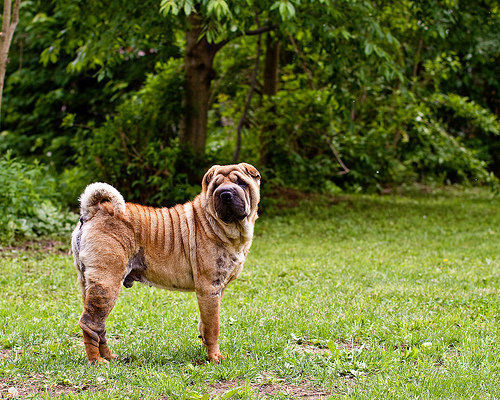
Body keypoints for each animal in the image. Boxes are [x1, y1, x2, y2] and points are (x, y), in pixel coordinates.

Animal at [71, 164, 262, 364]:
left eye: (241, 183)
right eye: (215, 186)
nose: (225, 193)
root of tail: (93, 211)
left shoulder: (215, 291)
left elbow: (204, 323)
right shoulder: (209, 289)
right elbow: (213, 327)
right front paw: (215, 357)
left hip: (89, 284)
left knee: (99, 326)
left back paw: (109, 356)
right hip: (107, 282)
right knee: (90, 323)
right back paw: (97, 361)